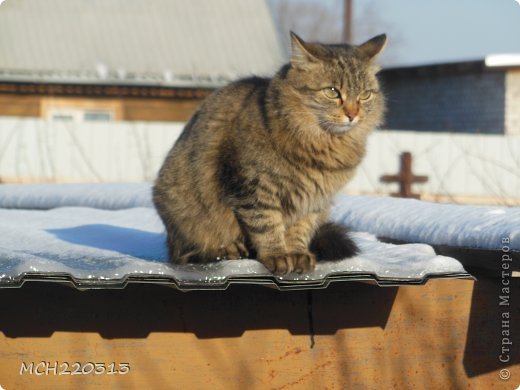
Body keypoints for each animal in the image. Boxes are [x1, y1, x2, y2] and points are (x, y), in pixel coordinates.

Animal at [151, 31, 386, 274]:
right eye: (332, 91)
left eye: (365, 95)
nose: (353, 114)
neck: (323, 147)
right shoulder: (253, 188)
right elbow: (266, 225)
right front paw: (278, 256)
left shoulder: (314, 200)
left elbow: (299, 230)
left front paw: (297, 254)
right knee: (190, 252)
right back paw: (228, 249)